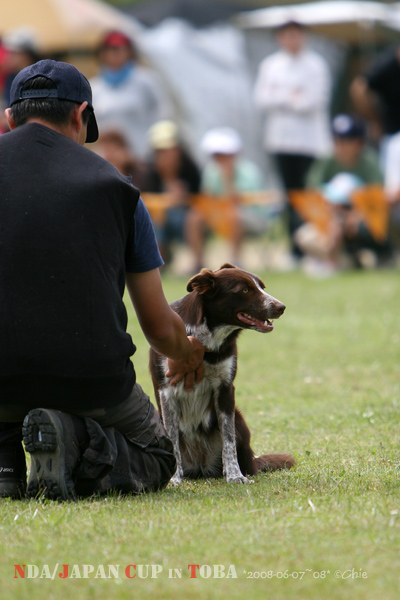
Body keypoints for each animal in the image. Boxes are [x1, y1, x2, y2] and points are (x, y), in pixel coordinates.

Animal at [149, 264, 294, 486]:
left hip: (239, 419)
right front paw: (173, 478)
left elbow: (228, 438)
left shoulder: (225, 388)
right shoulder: (166, 390)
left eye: (262, 286)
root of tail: (199, 466)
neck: (207, 341)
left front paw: (234, 475)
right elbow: (172, 438)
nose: (281, 307)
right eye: (245, 290)